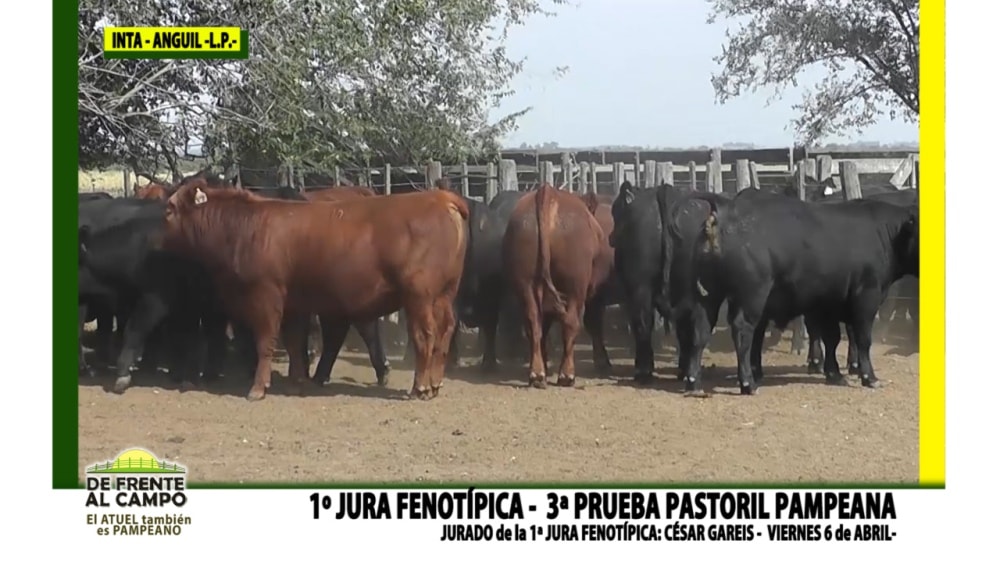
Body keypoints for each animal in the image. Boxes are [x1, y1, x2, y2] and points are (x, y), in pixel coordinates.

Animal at [161, 178, 468, 398]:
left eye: (169, 208)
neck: (248, 227)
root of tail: (439, 197)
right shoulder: (293, 304)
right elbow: (294, 342)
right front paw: (296, 382)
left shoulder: (266, 295)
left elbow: (265, 341)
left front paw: (258, 388)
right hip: (445, 294)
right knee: (444, 331)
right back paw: (434, 384)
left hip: (420, 296)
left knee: (425, 336)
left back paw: (420, 387)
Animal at [504, 184, 612, 384]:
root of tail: (548, 193)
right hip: (575, 288)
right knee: (570, 322)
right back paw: (566, 374)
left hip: (526, 283)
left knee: (533, 322)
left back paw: (537, 373)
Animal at [668, 188, 916, 394]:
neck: (884, 233)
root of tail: (726, 211)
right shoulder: (866, 298)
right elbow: (863, 339)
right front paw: (869, 377)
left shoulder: (827, 303)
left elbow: (832, 339)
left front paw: (833, 373)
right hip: (752, 296)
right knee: (743, 331)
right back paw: (748, 382)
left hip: (708, 295)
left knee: (701, 330)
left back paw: (694, 382)